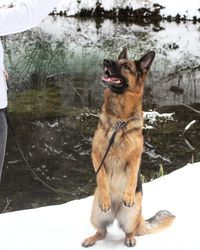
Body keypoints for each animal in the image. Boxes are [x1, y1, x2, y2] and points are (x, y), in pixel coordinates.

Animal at [82, 47, 174, 247]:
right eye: (116, 61)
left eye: (125, 66)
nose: (105, 61)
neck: (119, 121)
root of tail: (116, 211)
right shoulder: (97, 154)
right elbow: (101, 176)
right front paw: (106, 197)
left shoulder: (135, 157)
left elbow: (131, 176)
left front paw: (128, 195)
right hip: (96, 214)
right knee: (102, 232)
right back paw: (92, 237)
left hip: (131, 215)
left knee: (129, 231)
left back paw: (130, 238)